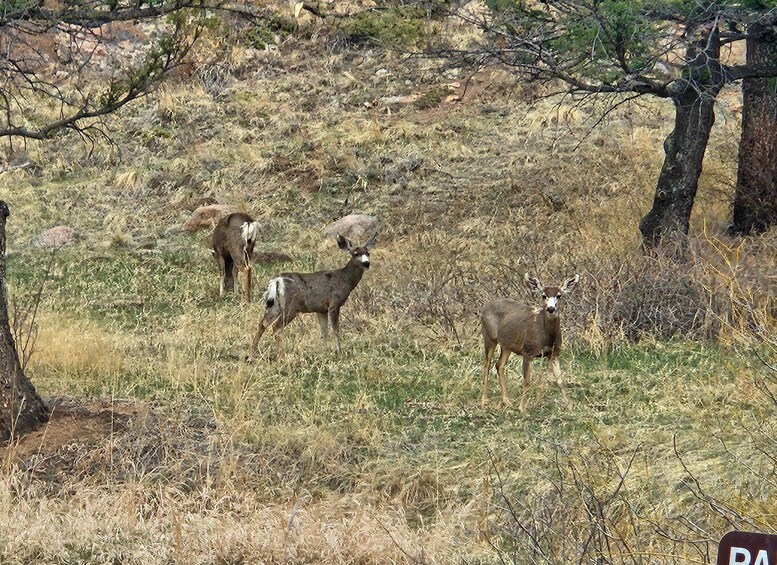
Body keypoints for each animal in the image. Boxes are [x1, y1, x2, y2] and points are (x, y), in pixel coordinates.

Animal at [478, 272, 584, 410]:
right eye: (543, 296)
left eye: (559, 295)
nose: (551, 308)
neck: (546, 337)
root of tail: (486, 306)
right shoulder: (527, 351)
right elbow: (527, 381)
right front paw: (522, 407)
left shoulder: (554, 353)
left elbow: (560, 380)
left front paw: (570, 406)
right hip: (489, 337)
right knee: (487, 365)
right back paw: (484, 401)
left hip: (507, 345)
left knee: (499, 365)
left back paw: (507, 401)